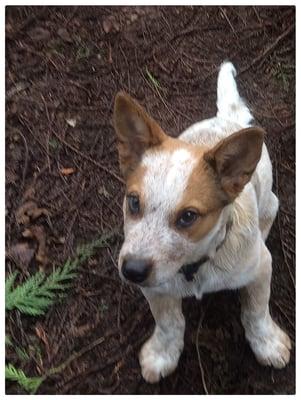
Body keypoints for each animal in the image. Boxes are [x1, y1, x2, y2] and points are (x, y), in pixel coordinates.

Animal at [111, 61, 290, 382]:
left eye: (188, 217)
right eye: (133, 202)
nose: (132, 271)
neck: (195, 267)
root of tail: (225, 119)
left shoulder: (260, 268)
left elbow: (256, 311)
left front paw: (267, 344)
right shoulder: (155, 285)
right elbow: (169, 323)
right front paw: (162, 355)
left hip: (270, 202)